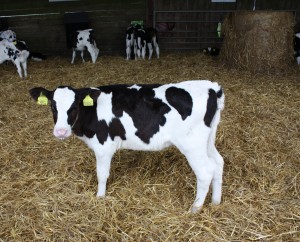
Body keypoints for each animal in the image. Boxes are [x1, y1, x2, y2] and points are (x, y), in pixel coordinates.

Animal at [29, 80, 225, 213]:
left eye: (74, 106)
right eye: (52, 106)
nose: (61, 131)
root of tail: (210, 87)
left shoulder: (103, 146)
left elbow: (102, 175)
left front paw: (100, 197)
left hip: (192, 144)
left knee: (206, 171)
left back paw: (195, 208)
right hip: (207, 141)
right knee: (218, 162)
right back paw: (215, 202)